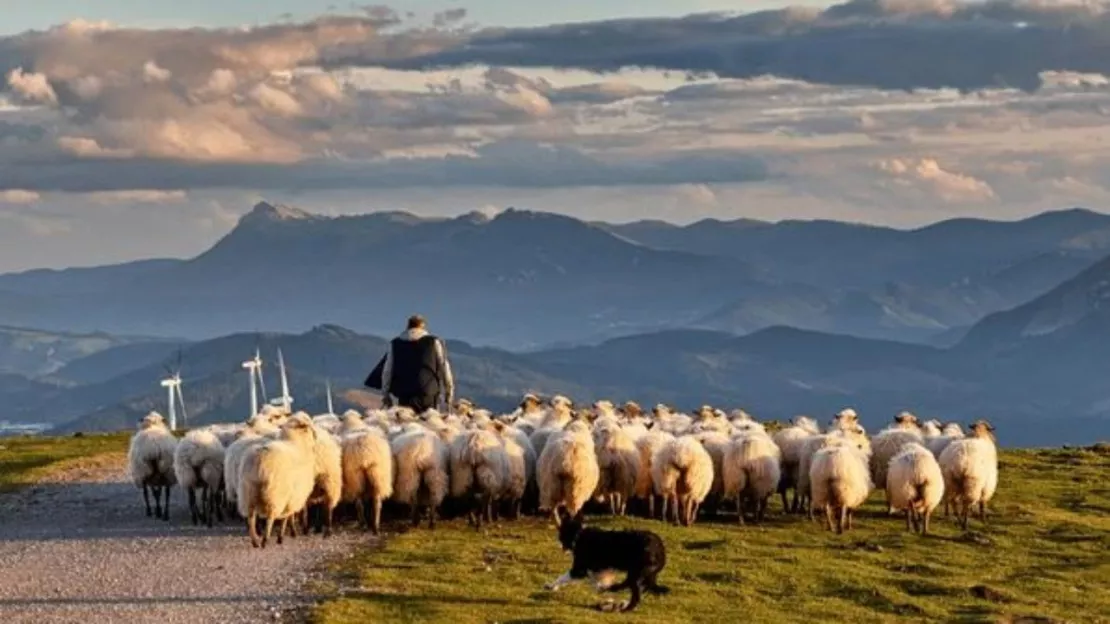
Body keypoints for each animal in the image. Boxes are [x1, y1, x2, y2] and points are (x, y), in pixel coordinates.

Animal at [237, 415, 317, 546]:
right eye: (308, 427)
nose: (316, 437)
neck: (297, 443)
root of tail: (260, 459)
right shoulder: (292, 497)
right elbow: (287, 516)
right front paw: (284, 535)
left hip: (248, 492)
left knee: (251, 517)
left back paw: (255, 540)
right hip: (274, 493)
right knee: (270, 516)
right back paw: (265, 539)